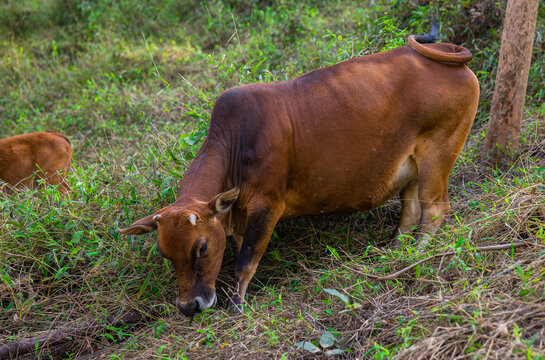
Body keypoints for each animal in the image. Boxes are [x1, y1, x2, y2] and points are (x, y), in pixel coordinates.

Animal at [118, 34, 476, 316]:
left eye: (202, 247)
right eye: (165, 253)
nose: (189, 306)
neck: (236, 142)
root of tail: (445, 52)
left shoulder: (267, 205)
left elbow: (245, 261)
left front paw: (237, 307)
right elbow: (242, 255)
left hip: (438, 154)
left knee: (435, 209)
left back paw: (419, 252)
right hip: (412, 167)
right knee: (411, 211)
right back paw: (395, 251)